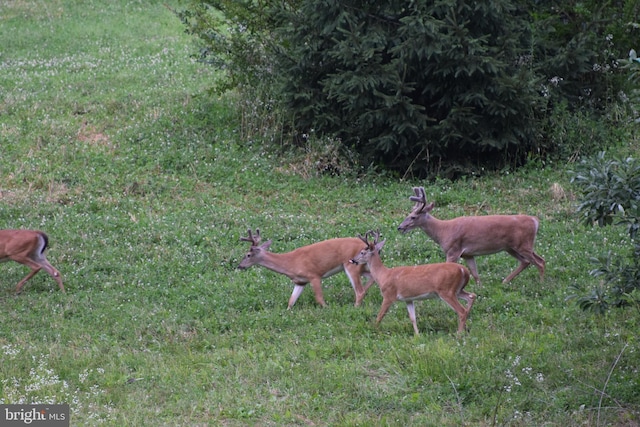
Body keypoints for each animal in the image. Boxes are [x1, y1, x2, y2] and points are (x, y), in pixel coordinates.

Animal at [236, 229, 376, 310]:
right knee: (373, 277)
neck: (290, 263)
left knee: (359, 291)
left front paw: (327, 309)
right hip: (362, 267)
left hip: (351, 265)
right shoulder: (300, 282)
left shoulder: (314, 275)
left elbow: (319, 298)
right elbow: (291, 302)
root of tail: (368, 245)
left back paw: (355, 307)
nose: (239, 266)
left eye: (248, 255)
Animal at [396, 187, 544, 288]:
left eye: (413, 217)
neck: (443, 231)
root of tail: (535, 220)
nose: (400, 227)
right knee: (527, 261)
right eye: (408, 214)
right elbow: (475, 273)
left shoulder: (453, 250)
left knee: (540, 261)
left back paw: (541, 283)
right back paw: (505, 281)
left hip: (523, 244)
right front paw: (480, 288)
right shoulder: (468, 254)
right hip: (511, 247)